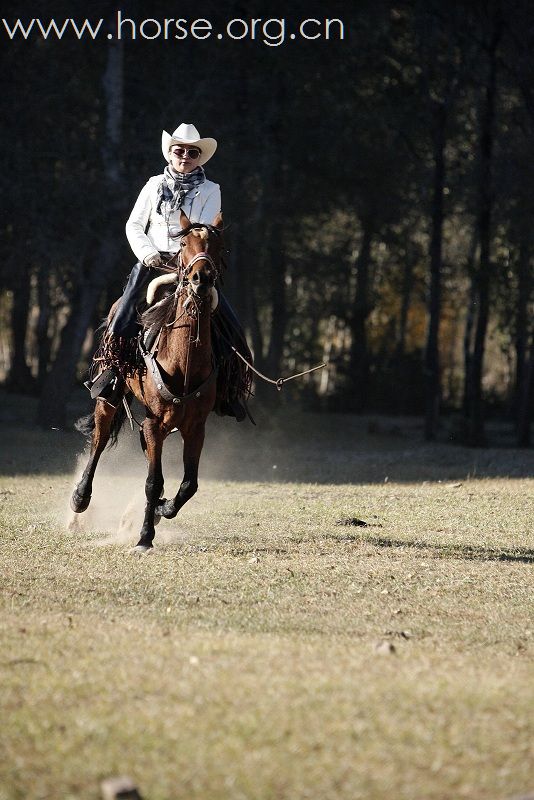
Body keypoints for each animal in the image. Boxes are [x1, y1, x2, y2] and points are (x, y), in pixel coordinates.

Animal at [70, 209, 224, 552]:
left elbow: (189, 484)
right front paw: (144, 538)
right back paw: (80, 499)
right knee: (99, 442)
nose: (202, 279)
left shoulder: (196, 427)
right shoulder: (155, 423)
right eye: (184, 247)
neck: (183, 362)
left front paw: (161, 511)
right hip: (110, 399)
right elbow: (153, 482)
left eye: (219, 246)